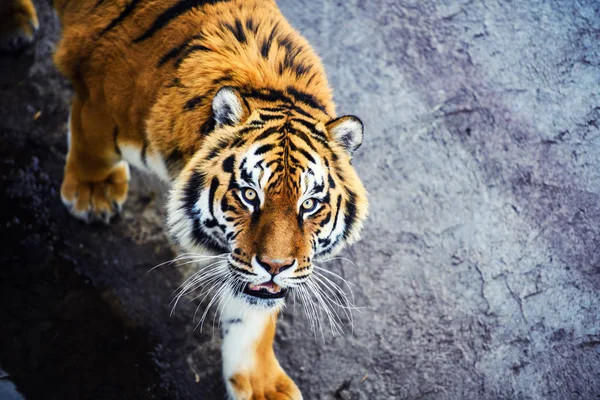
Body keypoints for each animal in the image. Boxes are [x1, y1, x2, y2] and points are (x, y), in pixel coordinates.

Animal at [2, 0, 368, 396]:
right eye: (249, 195)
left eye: (309, 204)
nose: (275, 266)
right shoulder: (96, 97)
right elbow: (92, 144)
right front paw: (92, 194)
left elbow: (251, 317)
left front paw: (261, 385)